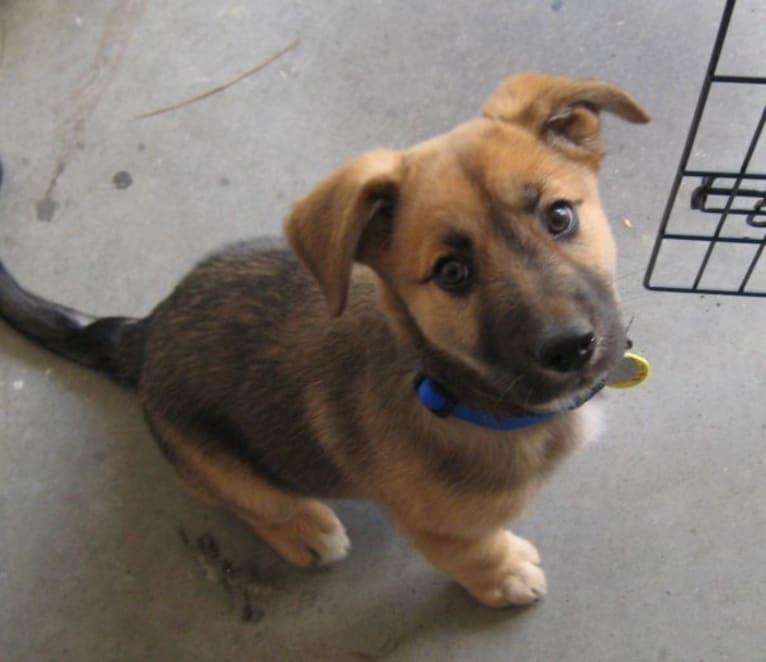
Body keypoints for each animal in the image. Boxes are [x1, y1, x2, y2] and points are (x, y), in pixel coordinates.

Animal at [0, 71, 648, 608]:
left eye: (559, 216)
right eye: (452, 273)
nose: (570, 348)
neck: (450, 388)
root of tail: (146, 330)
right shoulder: (437, 526)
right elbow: (475, 552)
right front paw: (505, 576)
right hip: (218, 464)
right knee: (248, 502)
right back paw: (303, 528)